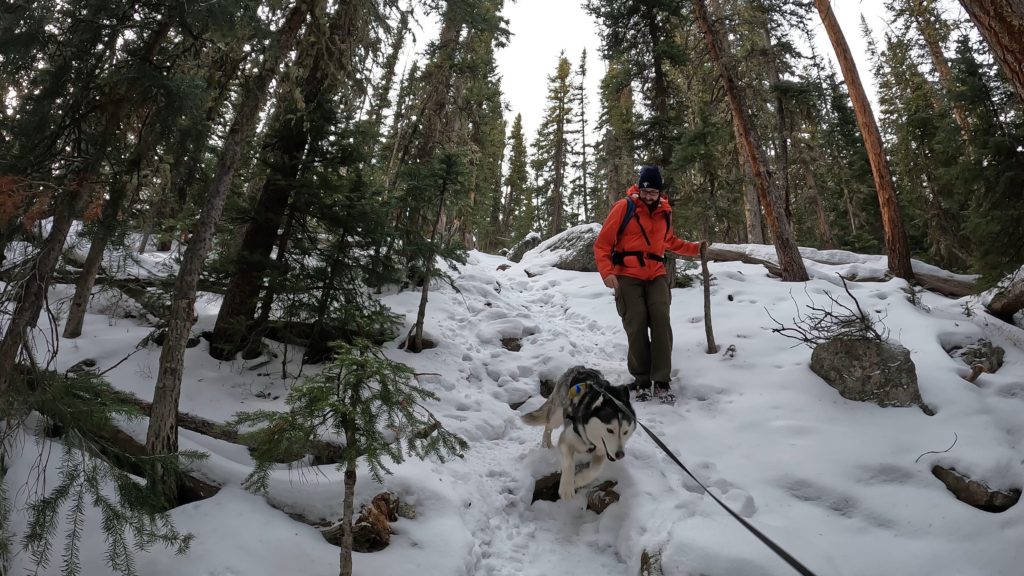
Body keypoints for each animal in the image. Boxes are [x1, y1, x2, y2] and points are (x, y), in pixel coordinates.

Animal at [524, 366, 634, 498]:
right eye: (610, 430)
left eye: (625, 432)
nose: (620, 455)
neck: (591, 440)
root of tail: (580, 368)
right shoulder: (566, 439)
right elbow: (569, 463)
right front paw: (566, 488)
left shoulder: (603, 452)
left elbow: (595, 470)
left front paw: (578, 481)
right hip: (557, 416)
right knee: (548, 425)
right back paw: (546, 444)